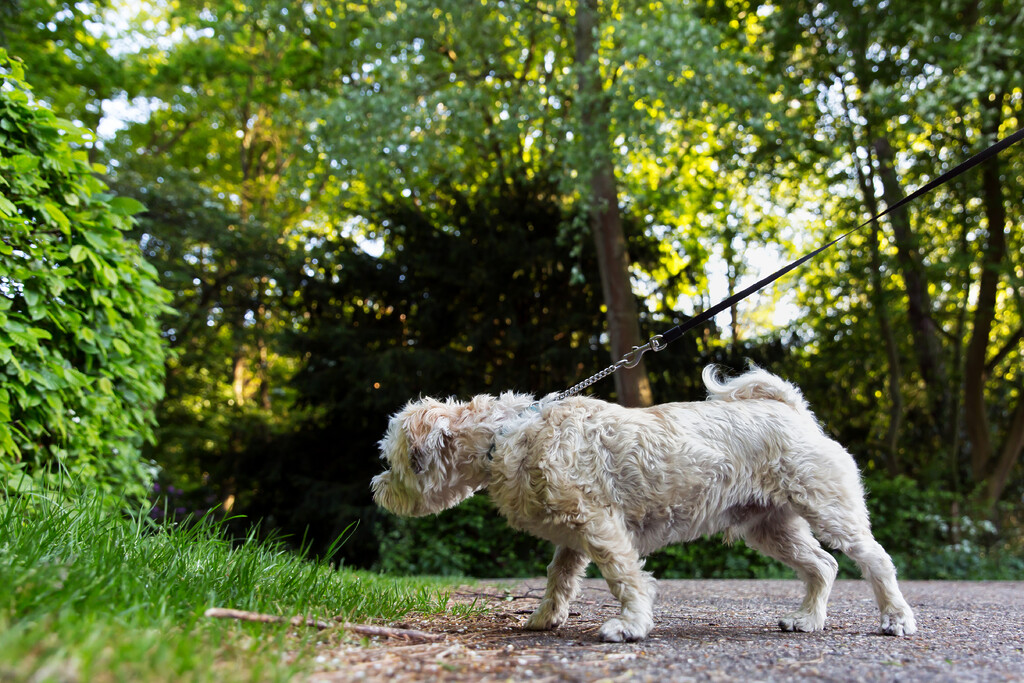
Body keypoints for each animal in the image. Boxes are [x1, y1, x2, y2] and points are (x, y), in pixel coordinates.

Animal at [372, 366, 917, 643]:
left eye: (393, 461)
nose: (376, 488)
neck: (509, 435)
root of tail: (793, 410)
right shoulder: (573, 537)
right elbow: (559, 580)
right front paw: (546, 617)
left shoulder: (600, 527)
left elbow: (625, 579)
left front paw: (630, 625)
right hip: (770, 528)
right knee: (823, 565)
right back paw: (806, 619)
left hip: (831, 510)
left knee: (876, 561)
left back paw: (896, 619)